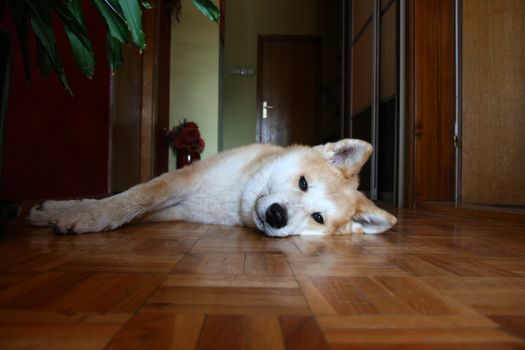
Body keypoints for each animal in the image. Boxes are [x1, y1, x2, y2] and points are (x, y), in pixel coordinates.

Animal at [28, 139, 396, 238]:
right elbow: (130, 199)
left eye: (317, 218)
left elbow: (133, 209)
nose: (278, 216)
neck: (234, 197)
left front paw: (66, 213)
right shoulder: (181, 180)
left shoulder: (176, 209)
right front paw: (74, 211)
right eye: (303, 182)